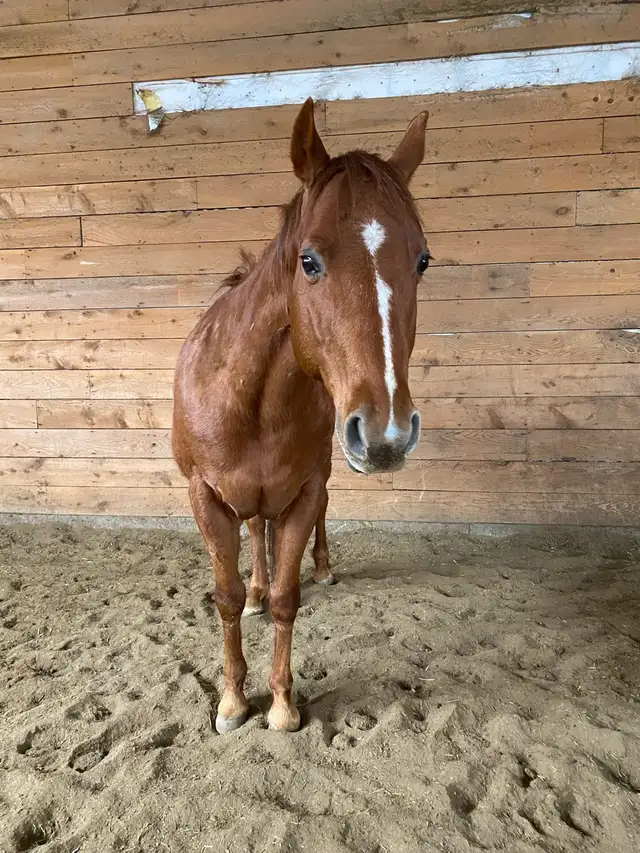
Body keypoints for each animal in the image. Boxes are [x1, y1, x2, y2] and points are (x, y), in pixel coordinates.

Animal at [172, 97, 429, 733]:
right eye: (308, 260)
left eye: (422, 260)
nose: (388, 432)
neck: (252, 401)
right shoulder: (206, 496)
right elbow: (226, 597)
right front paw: (233, 701)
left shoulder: (306, 491)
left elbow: (290, 599)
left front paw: (283, 706)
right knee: (255, 538)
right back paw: (257, 592)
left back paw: (322, 568)